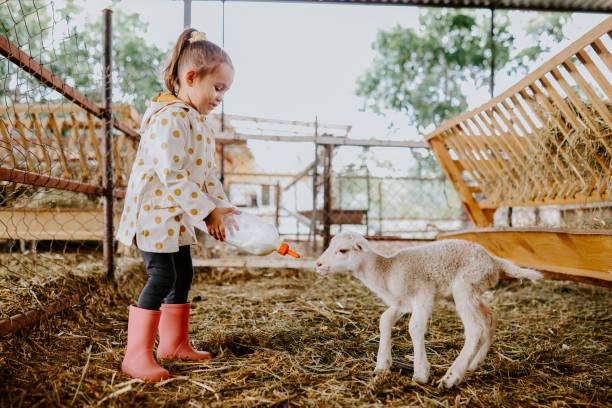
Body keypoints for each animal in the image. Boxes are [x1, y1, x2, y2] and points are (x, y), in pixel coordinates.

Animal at [316, 231, 540, 388]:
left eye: (343, 250)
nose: (318, 264)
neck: (386, 271)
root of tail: (494, 262)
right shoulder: (402, 302)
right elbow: (384, 320)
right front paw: (382, 365)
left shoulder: (424, 295)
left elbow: (414, 327)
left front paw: (421, 373)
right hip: (468, 291)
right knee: (490, 318)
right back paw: (475, 363)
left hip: (465, 286)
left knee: (476, 329)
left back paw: (452, 377)